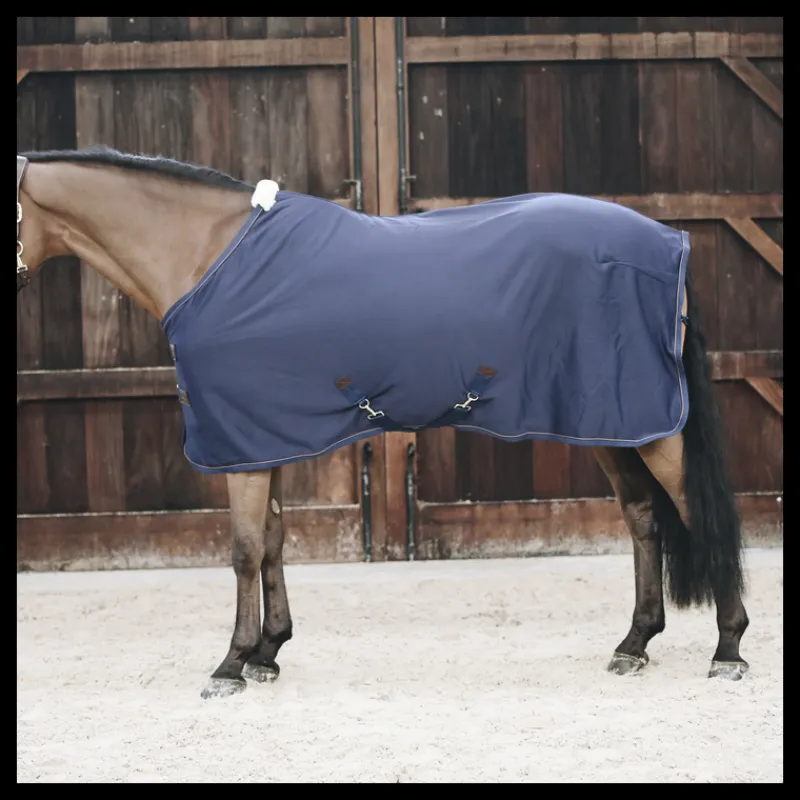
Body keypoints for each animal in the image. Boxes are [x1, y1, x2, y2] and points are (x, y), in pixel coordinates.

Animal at [16, 147, 750, 699]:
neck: (208, 258)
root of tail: (668, 243)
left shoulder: (241, 444)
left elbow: (244, 550)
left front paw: (230, 664)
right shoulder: (261, 437)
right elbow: (274, 542)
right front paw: (268, 652)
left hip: (652, 426)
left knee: (699, 514)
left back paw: (728, 648)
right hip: (613, 422)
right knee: (644, 518)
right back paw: (634, 643)